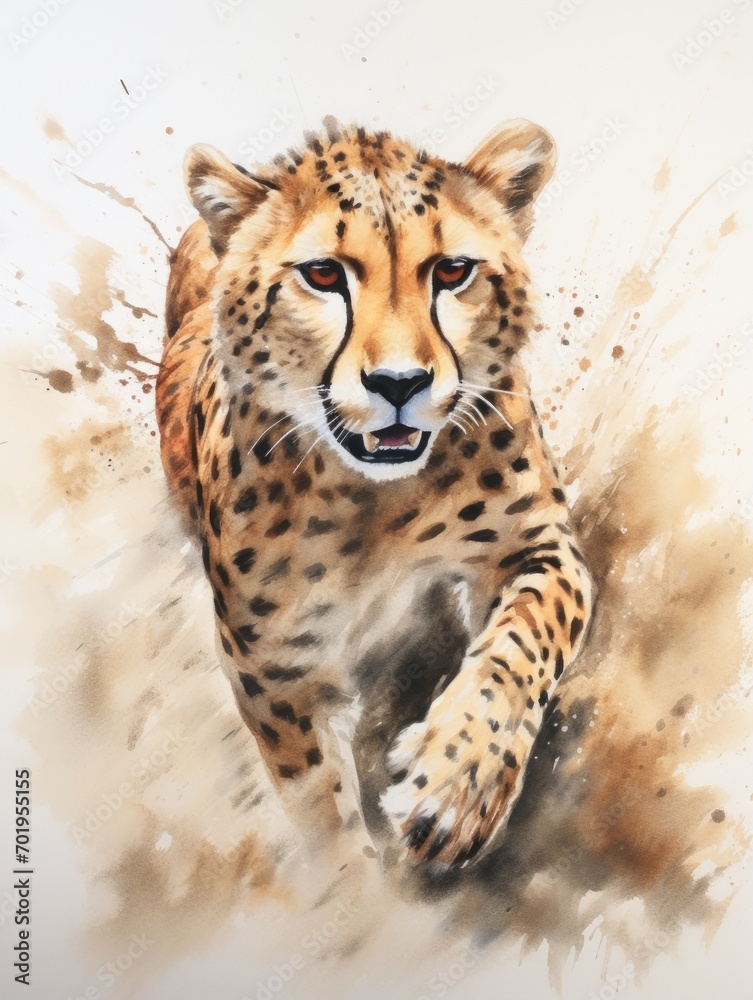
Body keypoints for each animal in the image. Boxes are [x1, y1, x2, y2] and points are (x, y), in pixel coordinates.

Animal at [155, 116, 593, 869]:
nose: (398, 383)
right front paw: (356, 889)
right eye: (323, 275)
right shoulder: (273, 659)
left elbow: (523, 643)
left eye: (452, 271)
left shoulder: (536, 543)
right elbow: (320, 805)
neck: (379, 499)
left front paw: (456, 788)